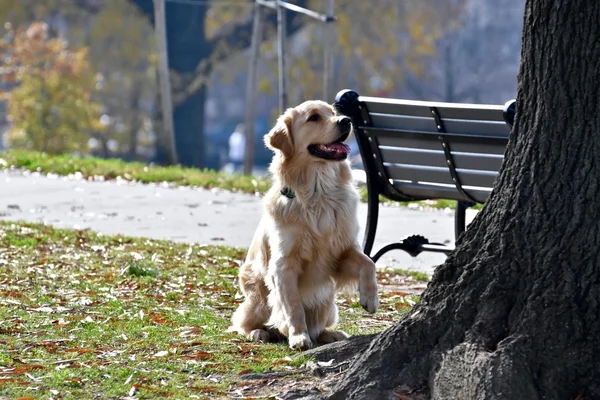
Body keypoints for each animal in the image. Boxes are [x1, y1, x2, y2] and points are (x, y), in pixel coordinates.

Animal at [230, 100, 380, 350]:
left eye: (333, 112)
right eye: (314, 117)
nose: (346, 120)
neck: (318, 193)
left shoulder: (341, 251)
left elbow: (369, 262)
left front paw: (370, 298)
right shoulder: (283, 264)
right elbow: (293, 306)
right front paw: (299, 336)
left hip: (329, 304)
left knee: (319, 325)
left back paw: (331, 334)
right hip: (258, 298)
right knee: (241, 322)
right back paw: (260, 332)